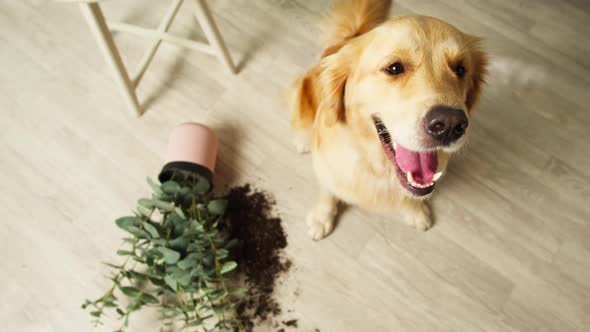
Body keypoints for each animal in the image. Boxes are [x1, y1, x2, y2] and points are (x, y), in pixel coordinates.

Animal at [290, 0, 490, 240]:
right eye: (394, 68)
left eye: (460, 69)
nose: (450, 125)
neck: (379, 169)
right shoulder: (327, 169)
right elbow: (327, 192)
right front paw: (322, 217)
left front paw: (415, 211)